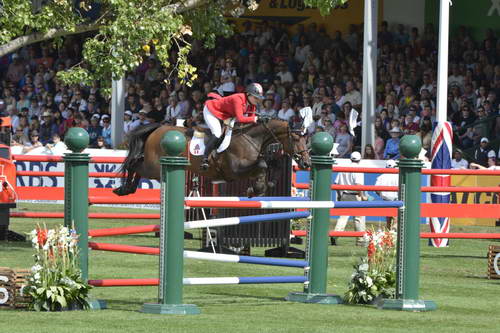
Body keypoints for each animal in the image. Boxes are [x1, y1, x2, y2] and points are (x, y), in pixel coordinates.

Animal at [114, 118, 310, 196]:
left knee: (137, 166)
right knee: (134, 165)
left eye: (305, 138)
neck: (251, 139)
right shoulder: (234, 171)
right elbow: (262, 165)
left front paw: (262, 186)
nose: (307, 163)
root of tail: (158, 127)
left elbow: (270, 165)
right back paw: (123, 189)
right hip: (154, 167)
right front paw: (256, 189)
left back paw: (128, 188)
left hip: (153, 166)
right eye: (295, 138)